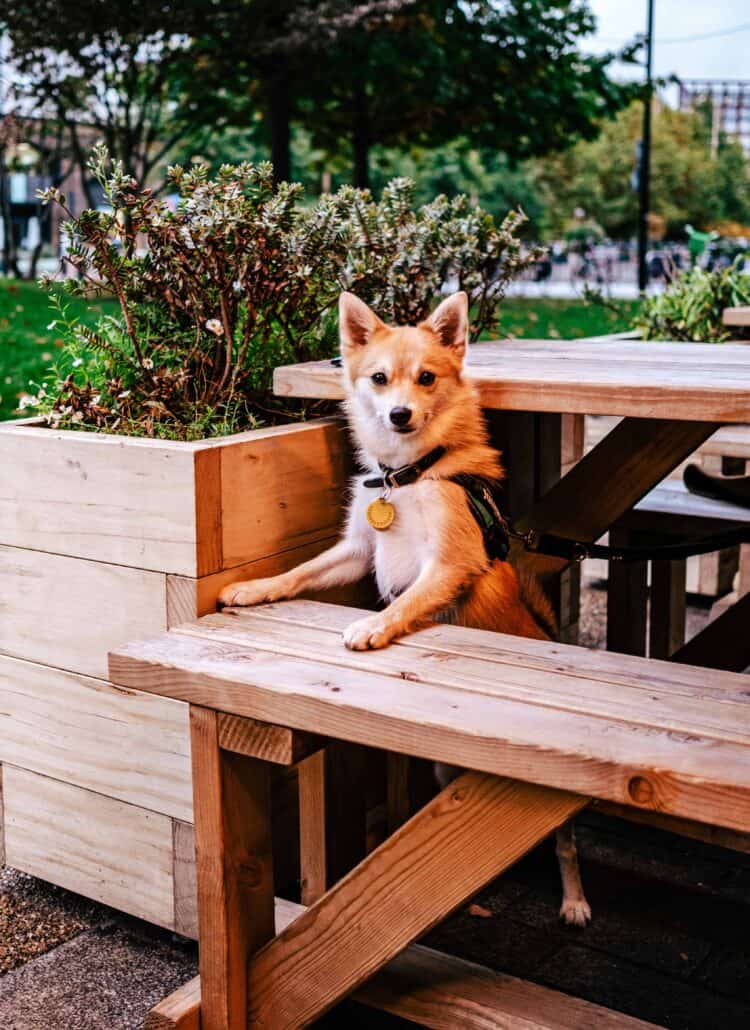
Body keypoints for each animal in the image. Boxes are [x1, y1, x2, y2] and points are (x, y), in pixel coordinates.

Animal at [216, 290, 593, 927]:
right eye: (379, 379)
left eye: (426, 378)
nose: (399, 414)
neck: (407, 475)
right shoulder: (356, 551)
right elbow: (298, 573)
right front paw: (255, 588)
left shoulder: (447, 565)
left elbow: (409, 598)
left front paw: (372, 625)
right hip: (444, 772)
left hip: (554, 815)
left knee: (564, 845)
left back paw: (573, 899)